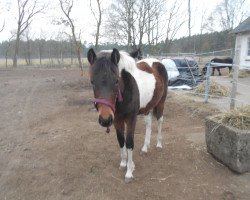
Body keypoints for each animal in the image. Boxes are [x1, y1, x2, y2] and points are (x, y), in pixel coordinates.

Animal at [87, 48, 168, 183]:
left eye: (116, 81)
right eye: (92, 82)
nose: (105, 120)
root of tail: (157, 62)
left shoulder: (131, 119)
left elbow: (129, 142)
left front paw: (129, 171)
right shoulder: (117, 120)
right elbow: (121, 140)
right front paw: (123, 163)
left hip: (161, 103)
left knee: (160, 121)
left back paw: (159, 145)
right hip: (147, 106)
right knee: (148, 124)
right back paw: (145, 148)